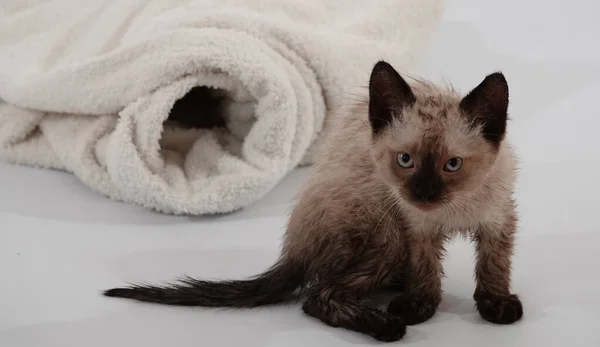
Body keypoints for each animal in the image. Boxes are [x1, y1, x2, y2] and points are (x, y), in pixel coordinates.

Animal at [103, 60, 520, 342]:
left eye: (453, 164)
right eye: (406, 161)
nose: (424, 194)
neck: (455, 209)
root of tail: (294, 250)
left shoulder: (499, 220)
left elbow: (494, 266)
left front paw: (496, 304)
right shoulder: (415, 227)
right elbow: (427, 271)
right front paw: (420, 305)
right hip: (384, 228)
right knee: (316, 296)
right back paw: (386, 323)